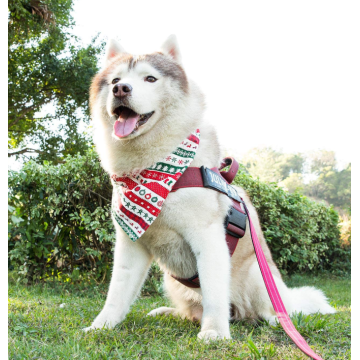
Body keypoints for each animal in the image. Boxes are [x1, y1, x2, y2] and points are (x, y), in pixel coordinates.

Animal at [84, 35, 334, 338]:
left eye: (150, 78)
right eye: (115, 80)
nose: (121, 89)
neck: (154, 172)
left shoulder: (208, 238)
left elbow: (215, 295)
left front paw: (214, 332)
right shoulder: (131, 244)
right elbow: (117, 294)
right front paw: (101, 326)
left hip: (258, 274)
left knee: (266, 310)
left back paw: (278, 321)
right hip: (171, 281)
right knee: (193, 311)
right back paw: (170, 312)